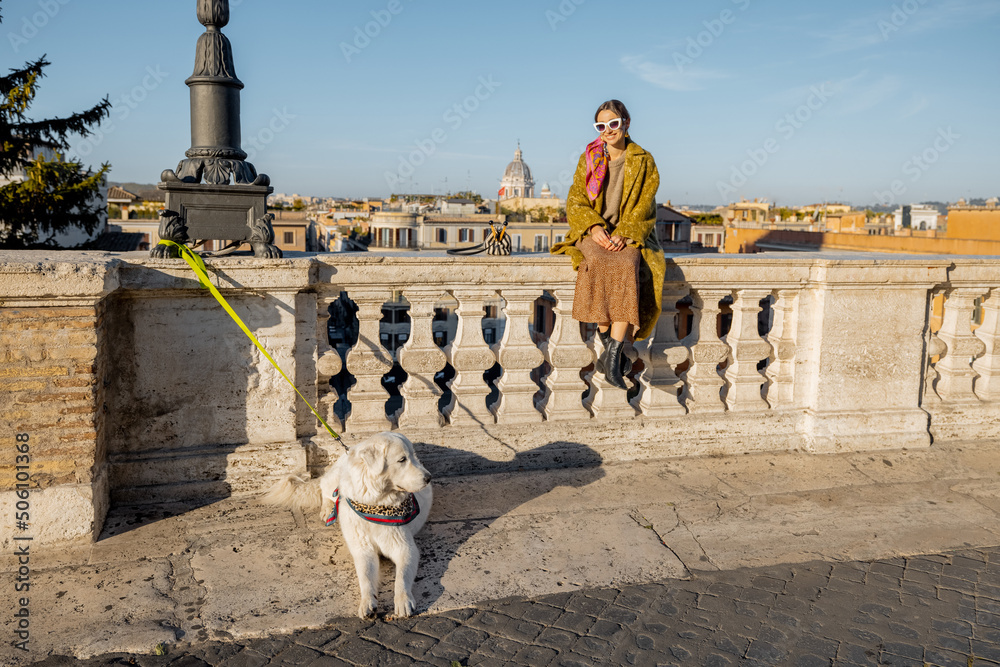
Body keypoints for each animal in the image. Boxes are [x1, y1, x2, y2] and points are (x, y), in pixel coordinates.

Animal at [266, 434, 434, 620]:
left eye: (413, 456)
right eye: (402, 459)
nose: (429, 477)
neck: (375, 503)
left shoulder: (405, 548)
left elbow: (402, 577)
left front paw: (403, 600)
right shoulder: (363, 551)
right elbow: (366, 578)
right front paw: (367, 602)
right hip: (333, 481)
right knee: (325, 491)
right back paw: (328, 510)